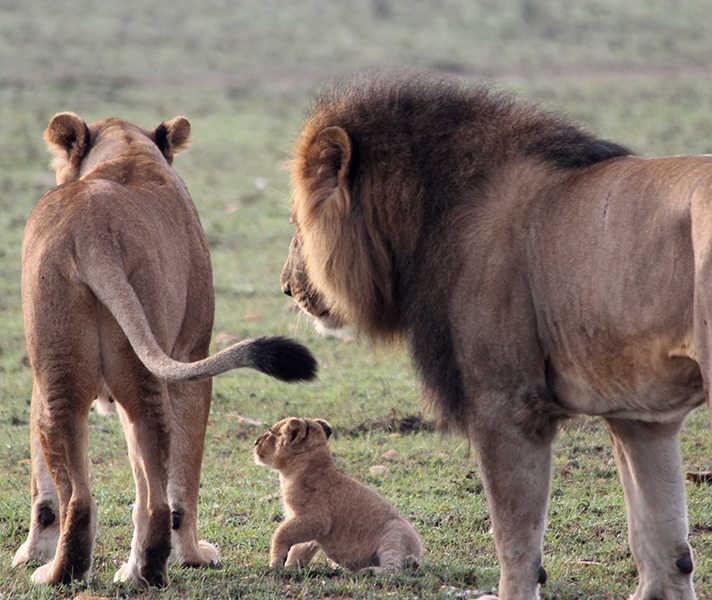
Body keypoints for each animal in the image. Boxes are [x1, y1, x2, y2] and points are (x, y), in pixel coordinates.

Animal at [12, 111, 318, 584]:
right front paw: (191, 555)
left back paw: (88, 572)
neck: (127, 148)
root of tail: (93, 232)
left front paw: (31, 555)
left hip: (73, 371)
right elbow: (184, 475)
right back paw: (135, 570)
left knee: (98, 495)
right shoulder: (192, 354)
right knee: (147, 493)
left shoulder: (43, 374)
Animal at [254, 418, 420, 572]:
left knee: (393, 569)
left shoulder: (317, 520)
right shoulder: (307, 525)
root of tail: (419, 553)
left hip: (394, 533)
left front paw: (275, 563)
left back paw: (369, 571)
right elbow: (300, 549)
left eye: (270, 432)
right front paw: (290, 568)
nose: (255, 442)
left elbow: (280, 533)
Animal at [280, 74, 708, 600]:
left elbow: (515, 543)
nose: (286, 286)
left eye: (296, 222)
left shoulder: (507, 405)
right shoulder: (638, 417)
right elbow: (663, 549)